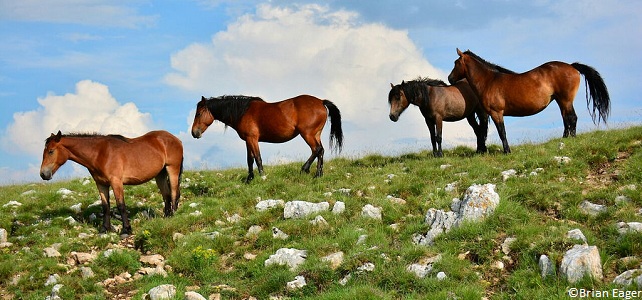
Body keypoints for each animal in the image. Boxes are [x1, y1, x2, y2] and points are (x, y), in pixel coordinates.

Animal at [39, 130, 182, 236]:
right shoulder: (101, 184)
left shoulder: (116, 182)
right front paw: (104, 229)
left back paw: (173, 216)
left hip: (172, 170)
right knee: (166, 195)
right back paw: (167, 216)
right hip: (160, 175)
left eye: (51, 151)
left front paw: (126, 230)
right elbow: (105, 206)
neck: (100, 153)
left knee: (174, 193)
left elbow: (121, 205)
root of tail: (175, 139)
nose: (43, 174)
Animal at [190, 95, 342, 183]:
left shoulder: (252, 139)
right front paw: (249, 179)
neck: (243, 112)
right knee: (320, 151)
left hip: (308, 134)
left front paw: (262, 176)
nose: (194, 133)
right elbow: (250, 159)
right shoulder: (248, 140)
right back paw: (319, 174)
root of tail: (321, 102)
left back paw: (306, 169)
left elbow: (257, 158)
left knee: (317, 149)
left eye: (198, 114)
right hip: (315, 134)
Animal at [448, 49, 608, 154]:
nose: (450, 78)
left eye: (456, 63)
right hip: (561, 101)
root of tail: (571, 66)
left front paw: (507, 151)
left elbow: (501, 132)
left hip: (566, 100)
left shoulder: (496, 113)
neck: (489, 81)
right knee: (566, 118)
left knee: (572, 118)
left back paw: (572, 139)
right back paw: (564, 139)